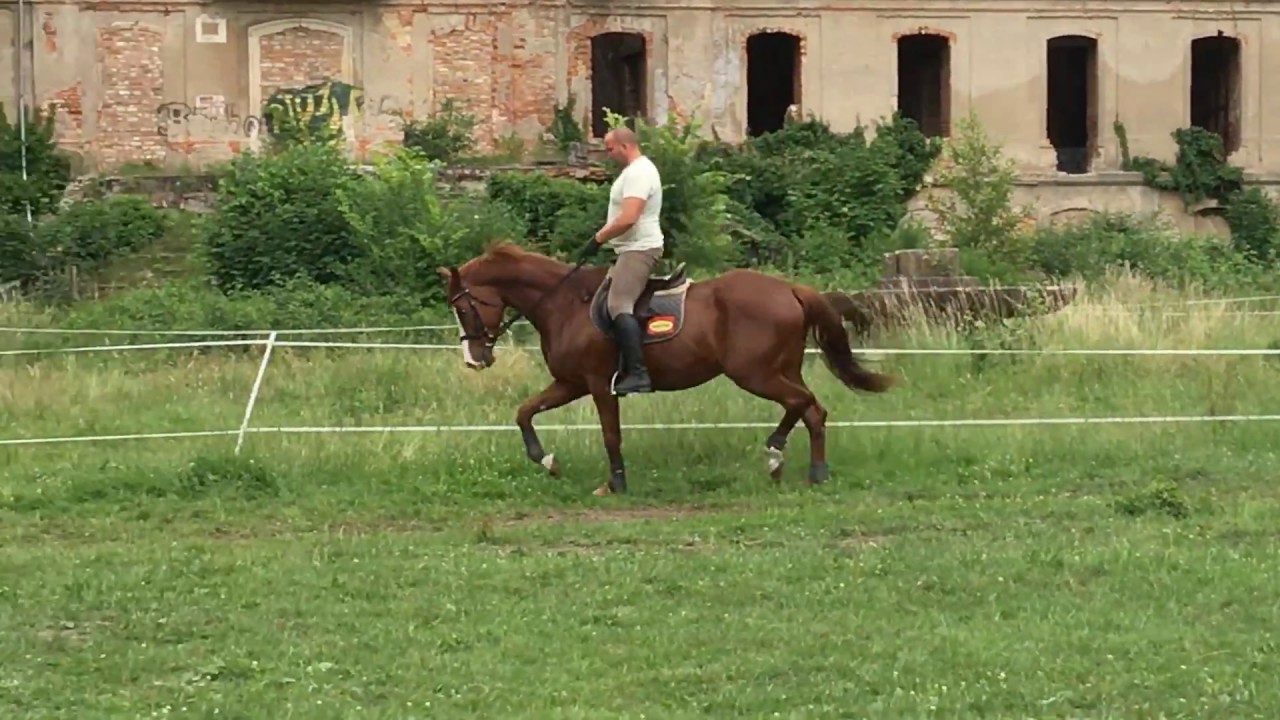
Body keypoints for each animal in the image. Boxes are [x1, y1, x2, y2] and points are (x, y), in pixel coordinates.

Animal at [437, 242, 898, 497]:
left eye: (464, 306)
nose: (474, 359)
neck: (564, 303)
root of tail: (790, 289)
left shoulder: (598, 385)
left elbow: (610, 435)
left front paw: (615, 484)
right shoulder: (570, 383)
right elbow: (525, 412)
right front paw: (546, 460)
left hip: (756, 373)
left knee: (810, 408)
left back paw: (813, 471)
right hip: (777, 370)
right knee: (801, 406)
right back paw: (775, 456)